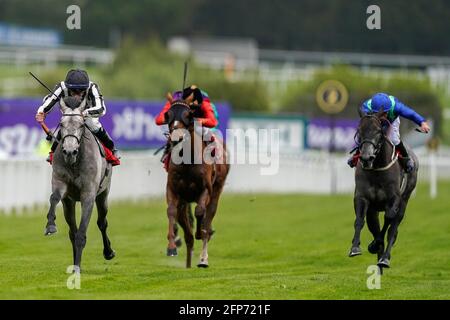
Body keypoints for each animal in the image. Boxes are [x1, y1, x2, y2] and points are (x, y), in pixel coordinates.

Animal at [44, 95, 114, 272]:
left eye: (81, 124)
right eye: (61, 124)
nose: (69, 151)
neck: (74, 163)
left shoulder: (88, 195)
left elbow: (82, 234)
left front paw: (77, 267)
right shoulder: (61, 184)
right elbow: (54, 197)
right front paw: (50, 225)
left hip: (103, 194)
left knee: (102, 222)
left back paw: (108, 252)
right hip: (69, 203)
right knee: (72, 231)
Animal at [163, 94, 230, 268]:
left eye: (188, 114)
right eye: (168, 115)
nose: (176, 138)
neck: (188, 160)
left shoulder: (205, 189)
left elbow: (200, 212)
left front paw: (201, 232)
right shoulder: (173, 189)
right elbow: (171, 211)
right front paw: (171, 247)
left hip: (217, 190)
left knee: (208, 215)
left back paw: (203, 259)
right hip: (184, 201)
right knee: (187, 234)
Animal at [348, 109, 418, 272]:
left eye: (378, 131)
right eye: (359, 131)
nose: (366, 157)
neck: (377, 168)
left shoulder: (394, 199)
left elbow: (388, 219)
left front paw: (375, 245)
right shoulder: (362, 197)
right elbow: (359, 220)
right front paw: (355, 247)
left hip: (404, 201)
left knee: (393, 229)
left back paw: (384, 258)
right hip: (373, 210)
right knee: (374, 226)